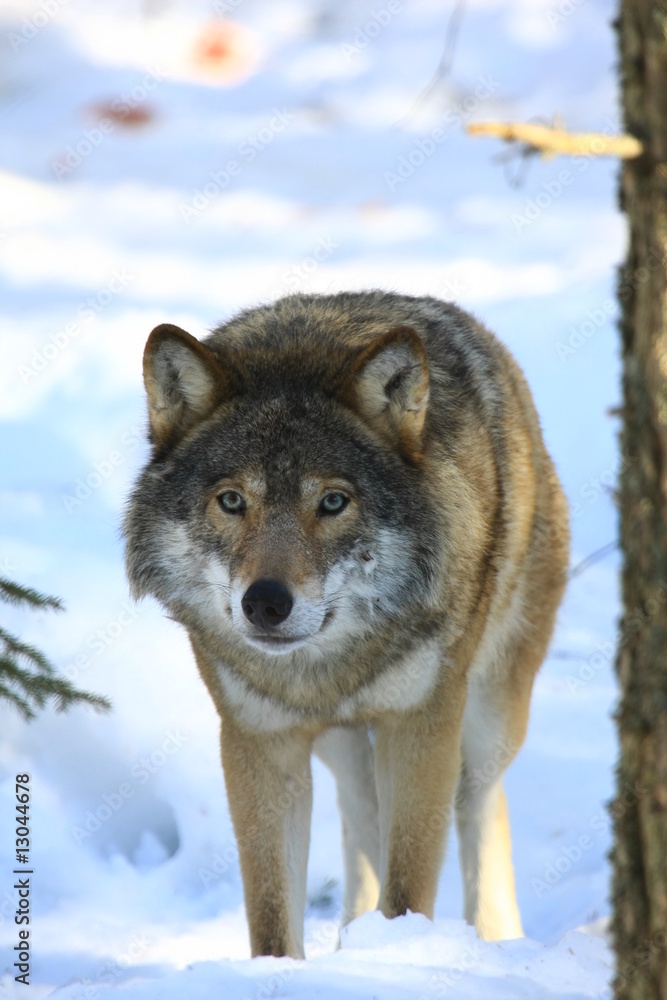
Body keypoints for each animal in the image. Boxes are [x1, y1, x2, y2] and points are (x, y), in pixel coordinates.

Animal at [124, 291, 569, 958]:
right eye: (232, 501)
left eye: (333, 502)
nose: (265, 603)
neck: (331, 665)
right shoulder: (260, 739)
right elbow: (273, 915)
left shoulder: (422, 723)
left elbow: (409, 885)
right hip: (344, 746)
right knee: (362, 817)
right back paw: (354, 941)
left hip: (489, 717)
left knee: (483, 807)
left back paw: (492, 938)